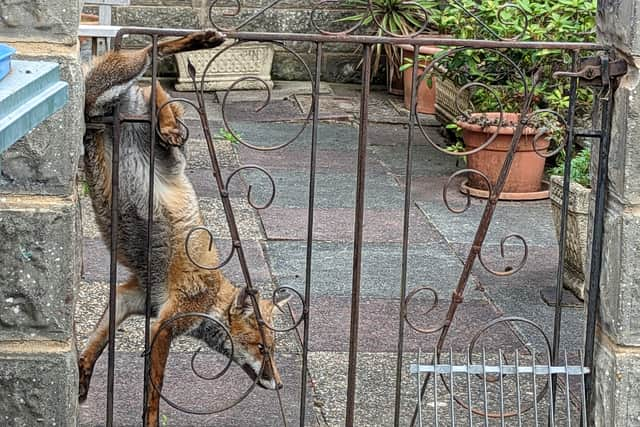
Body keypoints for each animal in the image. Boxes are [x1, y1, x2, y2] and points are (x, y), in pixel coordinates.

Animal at [78, 30, 290, 427]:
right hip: (119, 89)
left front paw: (82, 375)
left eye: (272, 349)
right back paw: (197, 44)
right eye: (262, 348)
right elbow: (154, 394)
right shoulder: (165, 324)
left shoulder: (132, 298)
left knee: (156, 88)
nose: (281, 384)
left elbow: (95, 343)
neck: (212, 299)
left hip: (110, 107)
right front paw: (150, 419)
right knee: (152, 56)